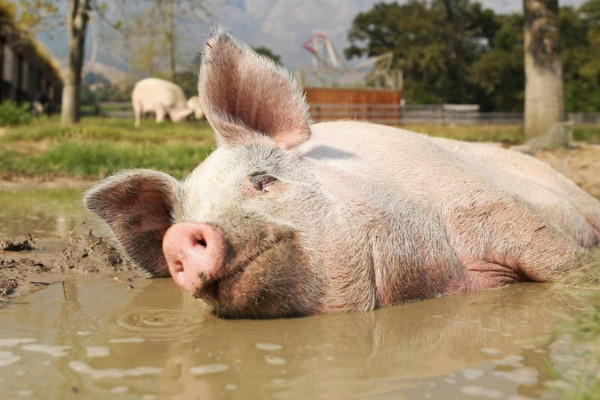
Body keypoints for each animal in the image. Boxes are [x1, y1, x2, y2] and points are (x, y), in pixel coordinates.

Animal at [83, 29, 600, 318]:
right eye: (178, 223)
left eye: (262, 179)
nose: (180, 236)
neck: (421, 283)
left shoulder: (484, 204)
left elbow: (562, 263)